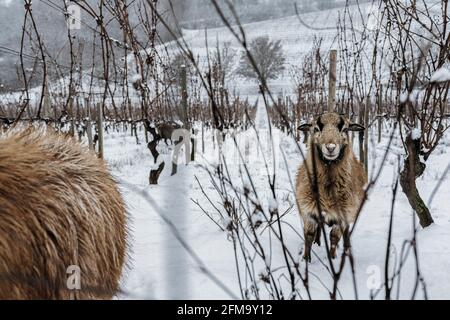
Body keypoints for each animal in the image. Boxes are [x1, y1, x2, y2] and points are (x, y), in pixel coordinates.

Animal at [296, 114, 366, 262]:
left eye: (344, 129)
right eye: (316, 128)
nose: (330, 147)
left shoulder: (342, 216)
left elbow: (334, 237)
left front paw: (332, 257)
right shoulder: (309, 211)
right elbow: (309, 234)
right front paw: (306, 259)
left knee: (345, 232)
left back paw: (346, 247)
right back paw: (318, 242)